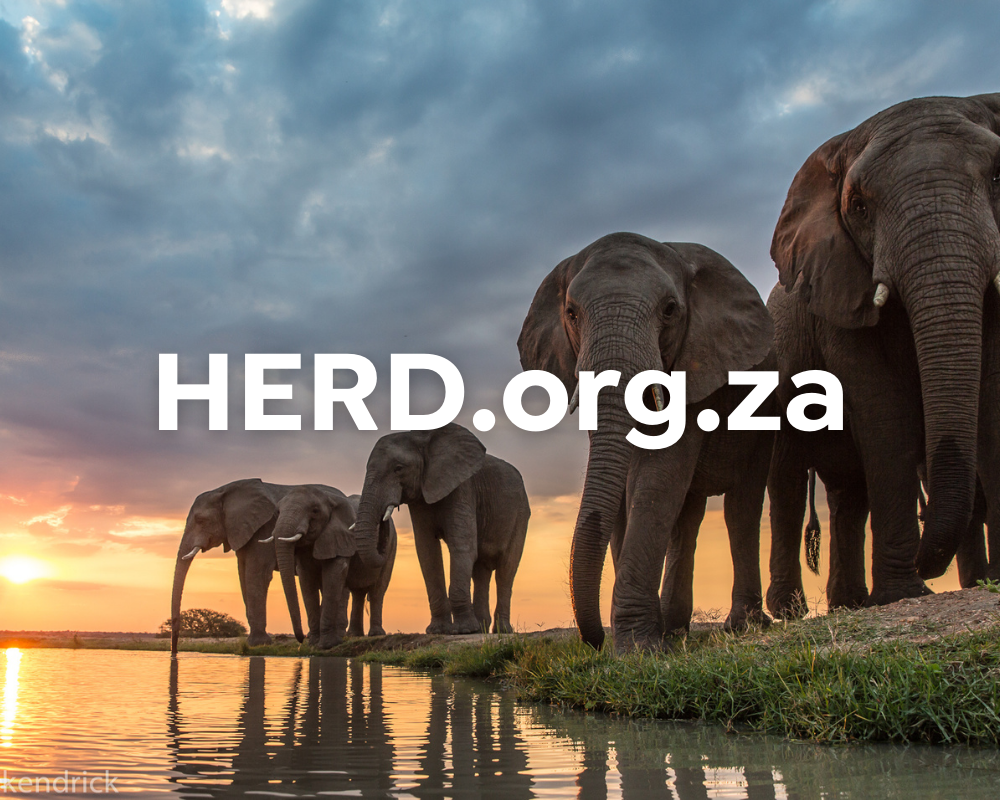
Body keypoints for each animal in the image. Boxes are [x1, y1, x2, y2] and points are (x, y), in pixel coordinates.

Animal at [170, 478, 286, 652]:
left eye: (200, 520)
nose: (175, 651)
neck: (225, 490)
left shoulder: (265, 528)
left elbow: (257, 574)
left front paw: (258, 644)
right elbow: (243, 575)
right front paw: (255, 643)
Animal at [272, 485, 397, 649]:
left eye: (315, 511)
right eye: (277, 512)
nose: (301, 639)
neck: (328, 498)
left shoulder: (341, 537)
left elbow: (333, 577)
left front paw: (327, 645)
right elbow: (306, 581)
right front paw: (314, 643)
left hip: (391, 547)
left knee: (378, 590)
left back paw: (375, 634)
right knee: (358, 592)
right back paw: (354, 634)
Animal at [352, 423, 530, 635]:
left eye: (398, 468)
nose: (385, 513)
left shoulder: (462, 488)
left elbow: (462, 547)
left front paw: (464, 630)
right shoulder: (420, 498)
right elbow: (427, 552)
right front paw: (439, 630)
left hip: (520, 513)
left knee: (506, 569)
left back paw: (500, 630)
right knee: (481, 571)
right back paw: (481, 628)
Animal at [518, 231, 775, 651]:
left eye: (670, 310)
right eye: (571, 313)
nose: (595, 641)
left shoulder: (695, 361)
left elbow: (657, 478)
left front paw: (638, 648)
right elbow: (623, 485)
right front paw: (644, 641)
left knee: (742, 506)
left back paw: (744, 625)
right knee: (687, 518)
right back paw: (675, 630)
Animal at [765, 93, 1000, 619]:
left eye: (999, 178)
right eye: (859, 206)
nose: (926, 559)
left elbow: (992, 400)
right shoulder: (837, 293)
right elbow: (884, 411)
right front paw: (903, 594)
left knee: (850, 491)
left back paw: (849, 605)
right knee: (788, 480)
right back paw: (791, 612)